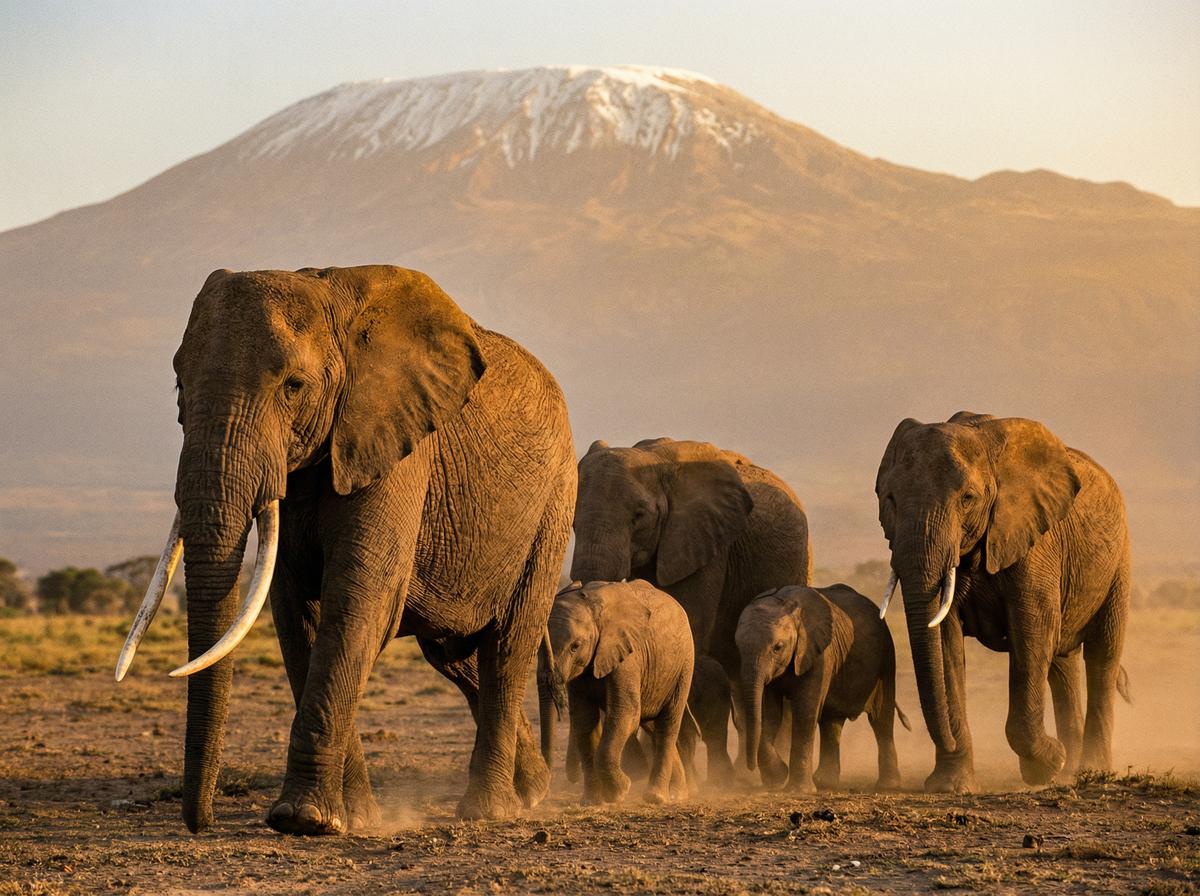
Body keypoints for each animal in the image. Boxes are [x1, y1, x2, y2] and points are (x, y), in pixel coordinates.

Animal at [115, 265, 576, 833]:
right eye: (179, 383)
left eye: (293, 386)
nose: (202, 823)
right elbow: (297, 616)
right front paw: (351, 818)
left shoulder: (394, 444)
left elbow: (357, 601)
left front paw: (301, 819)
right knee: (457, 658)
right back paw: (532, 791)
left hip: (553, 507)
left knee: (506, 649)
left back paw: (489, 809)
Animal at [538, 579, 697, 804]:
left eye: (575, 647)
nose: (545, 794)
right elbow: (584, 720)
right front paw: (592, 802)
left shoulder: (628, 657)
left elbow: (625, 712)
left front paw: (620, 792)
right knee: (652, 726)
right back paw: (678, 794)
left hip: (683, 665)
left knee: (667, 724)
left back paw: (656, 797)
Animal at [735, 584, 908, 791]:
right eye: (738, 647)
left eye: (778, 647)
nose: (750, 768)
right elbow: (770, 713)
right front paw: (777, 778)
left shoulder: (820, 654)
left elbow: (806, 711)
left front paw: (798, 790)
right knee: (831, 723)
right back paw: (825, 782)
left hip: (886, 658)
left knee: (882, 719)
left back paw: (887, 785)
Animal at [875, 411, 1131, 792]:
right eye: (889, 498)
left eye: (967, 498)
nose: (947, 739)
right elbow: (946, 643)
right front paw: (951, 786)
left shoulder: (1036, 542)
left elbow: (1032, 632)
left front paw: (1045, 765)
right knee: (1062, 664)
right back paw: (1070, 769)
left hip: (1118, 560)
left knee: (1102, 654)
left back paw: (1089, 770)